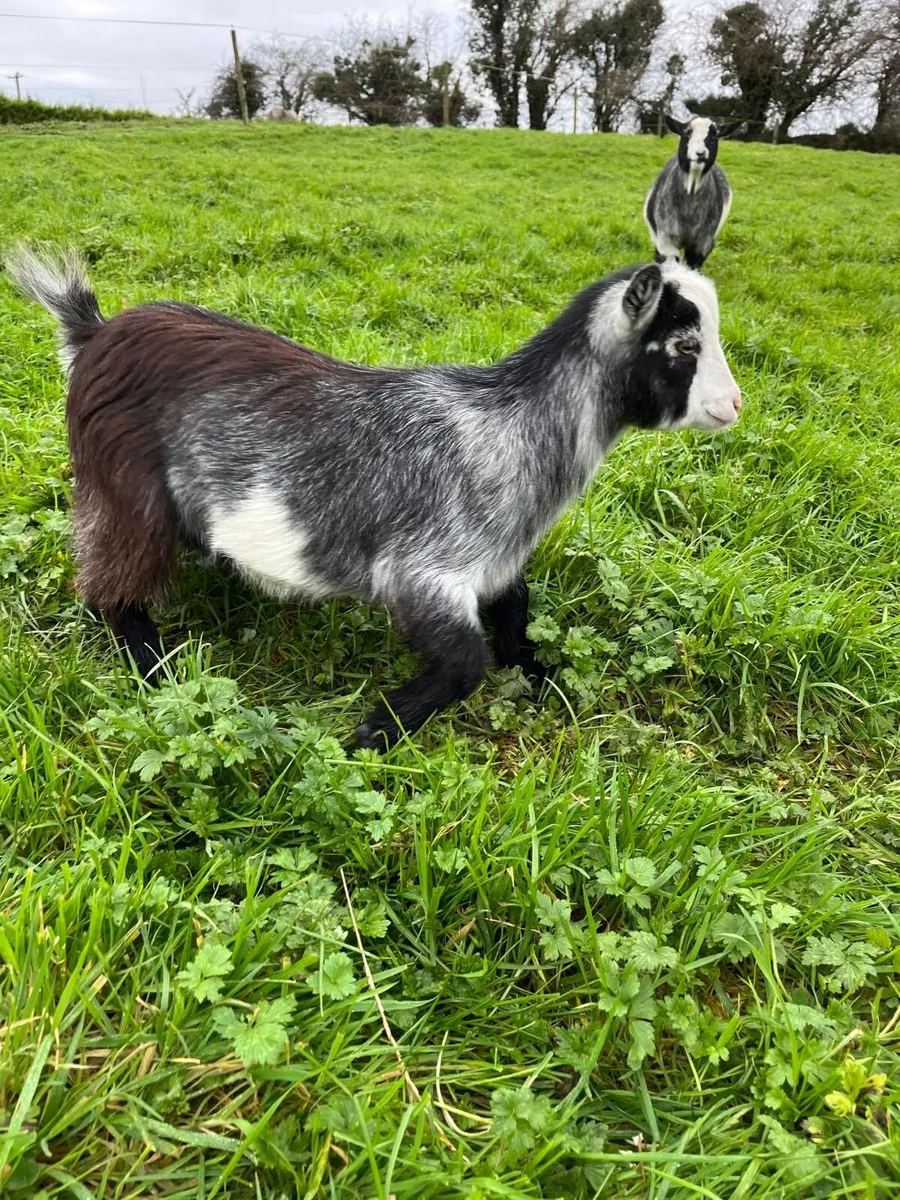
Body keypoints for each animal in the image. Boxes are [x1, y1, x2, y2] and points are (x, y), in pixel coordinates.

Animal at [7, 248, 741, 749]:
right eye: (684, 344)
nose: (734, 405)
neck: (508, 426)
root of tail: (93, 332)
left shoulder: (496, 558)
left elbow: (515, 611)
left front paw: (546, 678)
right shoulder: (422, 568)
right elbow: (465, 662)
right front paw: (371, 734)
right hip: (124, 483)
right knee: (108, 585)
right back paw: (157, 671)